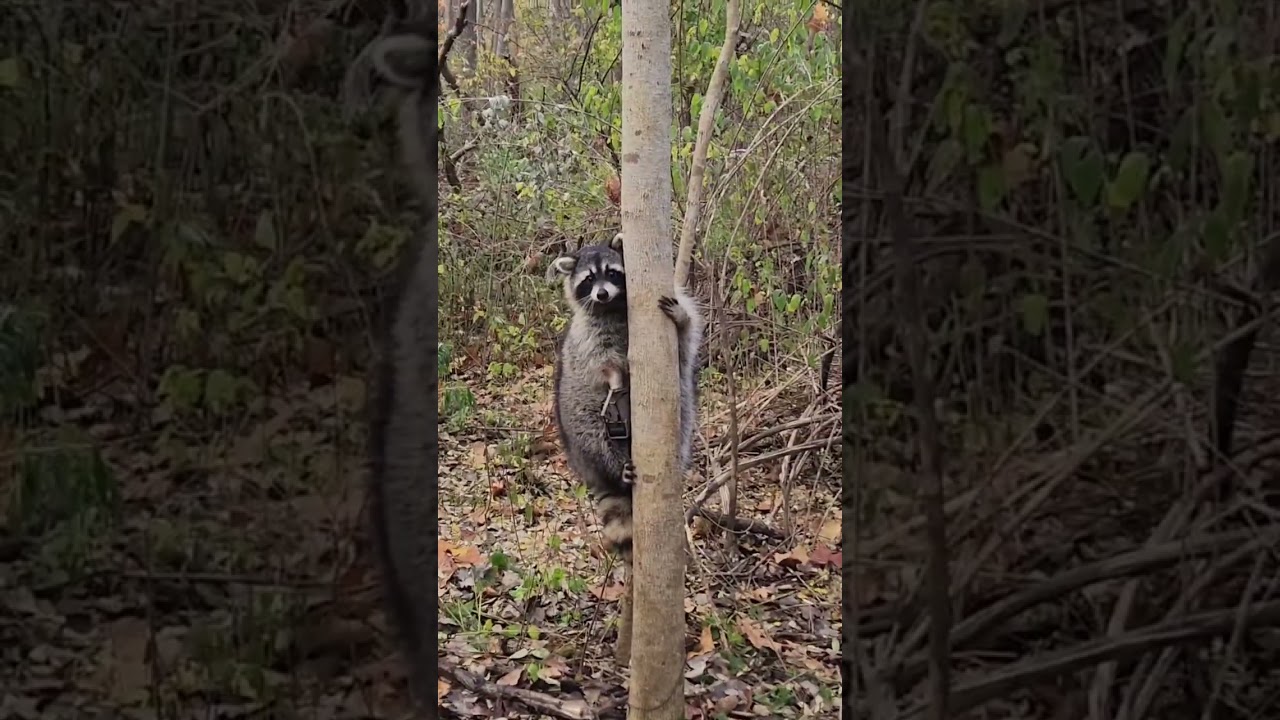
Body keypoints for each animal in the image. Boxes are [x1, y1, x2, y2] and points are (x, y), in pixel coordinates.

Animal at [550, 233, 704, 559]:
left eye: (611, 273)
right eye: (588, 279)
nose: (602, 295)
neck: (614, 307)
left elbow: (686, 337)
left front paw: (682, 318)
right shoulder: (589, 336)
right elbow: (601, 362)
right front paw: (614, 376)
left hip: (682, 406)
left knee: (683, 418)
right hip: (577, 419)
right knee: (594, 436)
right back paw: (615, 469)